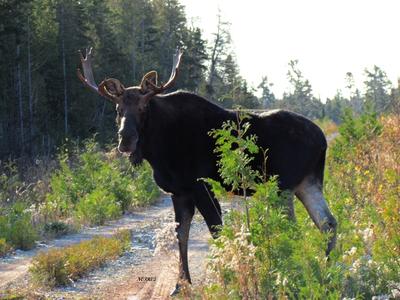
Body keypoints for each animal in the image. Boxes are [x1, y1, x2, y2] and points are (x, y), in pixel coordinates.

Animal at [76, 48, 336, 294]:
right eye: (118, 109)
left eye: (142, 107)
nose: (126, 139)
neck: (159, 150)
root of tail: (322, 140)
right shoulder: (178, 192)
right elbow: (181, 234)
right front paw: (180, 284)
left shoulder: (200, 186)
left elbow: (217, 231)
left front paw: (226, 279)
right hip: (308, 183)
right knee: (328, 223)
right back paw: (327, 272)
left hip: (283, 186)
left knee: (295, 227)